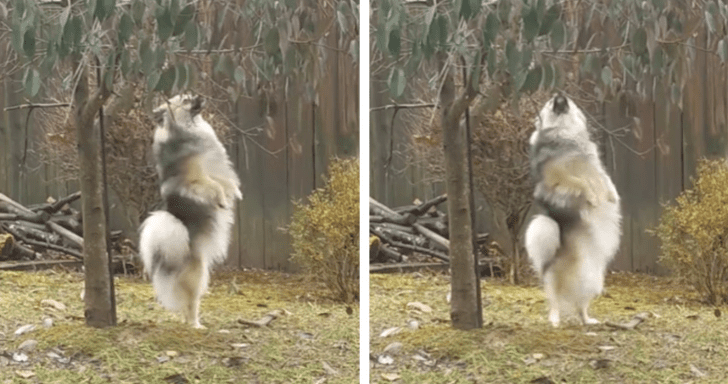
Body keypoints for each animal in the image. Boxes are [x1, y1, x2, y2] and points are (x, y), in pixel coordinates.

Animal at [136, 94, 239, 328]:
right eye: (185, 99)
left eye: (189, 94)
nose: (200, 95)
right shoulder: (196, 182)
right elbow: (215, 187)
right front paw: (222, 201)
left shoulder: (217, 171)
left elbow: (227, 183)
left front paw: (233, 195)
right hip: (198, 275)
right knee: (191, 303)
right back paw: (196, 325)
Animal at [524, 93, 620, 328]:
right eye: (551, 102)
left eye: (568, 100)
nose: (559, 93)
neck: (565, 135)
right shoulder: (559, 179)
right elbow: (582, 182)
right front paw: (593, 198)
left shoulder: (597, 169)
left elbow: (605, 179)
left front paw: (612, 196)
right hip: (554, 279)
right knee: (555, 302)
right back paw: (555, 320)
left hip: (592, 280)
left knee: (580, 306)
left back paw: (588, 320)